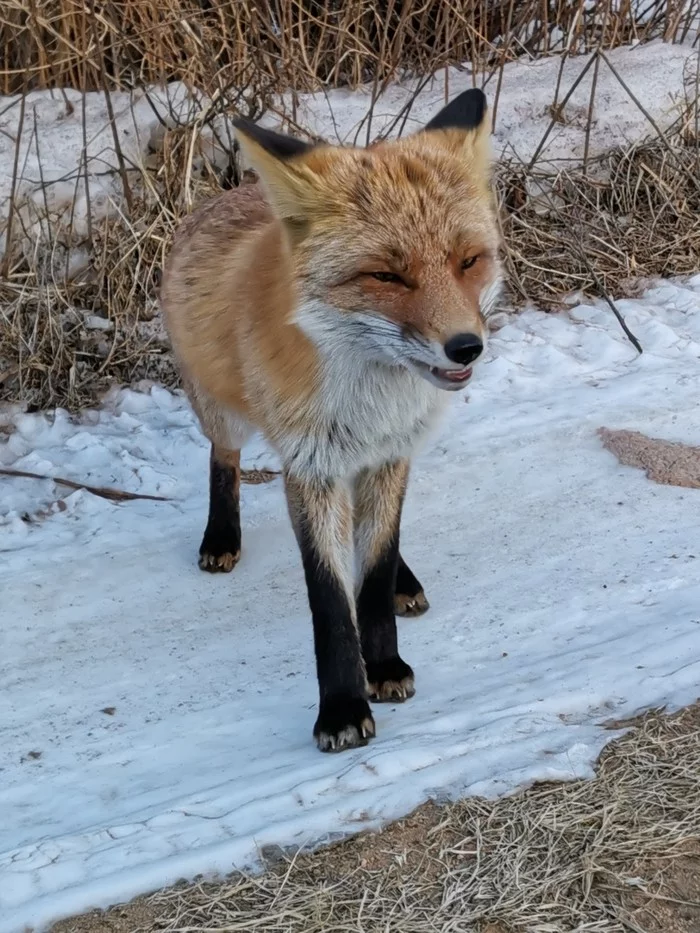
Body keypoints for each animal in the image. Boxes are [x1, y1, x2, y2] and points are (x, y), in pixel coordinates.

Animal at [163, 89, 504, 748]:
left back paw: (404, 582)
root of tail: (225, 195)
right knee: (223, 458)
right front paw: (344, 705)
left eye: (468, 261)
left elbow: (371, 571)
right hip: (224, 414)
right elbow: (329, 597)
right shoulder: (310, 466)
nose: (466, 348)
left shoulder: (390, 453)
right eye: (387, 275)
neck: (369, 398)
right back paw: (221, 535)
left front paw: (385, 663)